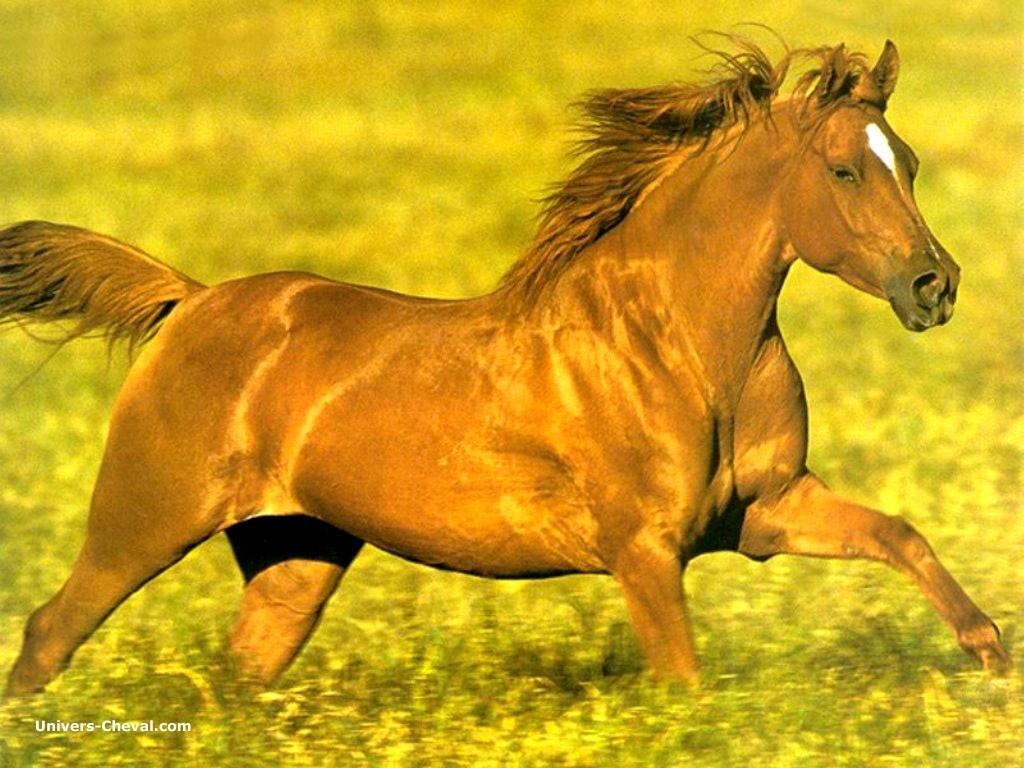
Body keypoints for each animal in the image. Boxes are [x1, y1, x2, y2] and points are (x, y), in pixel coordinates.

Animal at [0, 39, 1007, 696]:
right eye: (843, 170)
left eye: (909, 162)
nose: (935, 285)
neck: (677, 347)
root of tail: (191, 300)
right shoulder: (644, 550)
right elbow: (684, 681)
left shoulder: (763, 511)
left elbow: (899, 534)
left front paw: (990, 652)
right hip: (147, 517)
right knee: (51, 630)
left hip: (296, 553)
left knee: (240, 674)